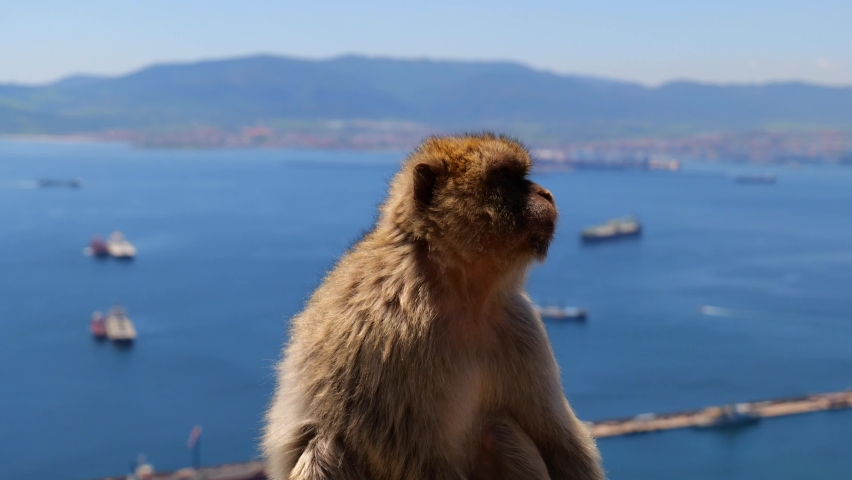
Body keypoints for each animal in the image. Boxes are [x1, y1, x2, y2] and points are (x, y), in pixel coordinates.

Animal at [263, 133, 604, 480]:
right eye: (507, 176)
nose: (546, 194)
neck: (463, 290)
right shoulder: (392, 329)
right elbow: (407, 455)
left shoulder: (521, 325)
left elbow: (559, 439)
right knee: (324, 450)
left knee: (499, 431)